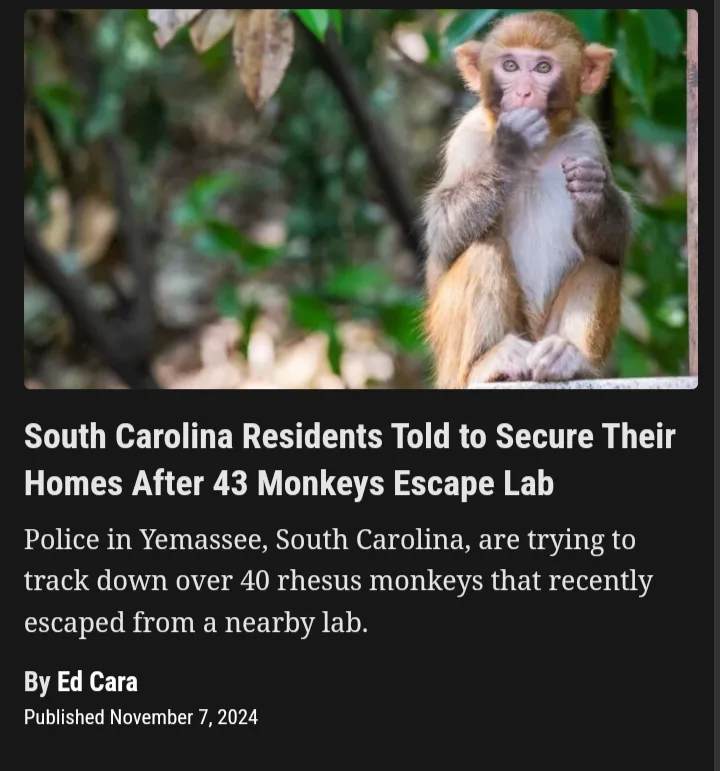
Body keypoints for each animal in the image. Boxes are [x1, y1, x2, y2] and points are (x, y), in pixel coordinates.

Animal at [423, 11, 633, 389]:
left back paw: (567, 359)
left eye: (543, 68)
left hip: (542, 336)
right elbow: (443, 234)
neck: (540, 152)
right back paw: (486, 364)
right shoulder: (469, 136)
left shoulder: (587, 141)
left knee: (601, 261)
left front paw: (595, 193)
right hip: (452, 359)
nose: (523, 91)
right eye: (510, 65)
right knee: (482, 251)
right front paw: (511, 148)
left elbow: (616, 243)